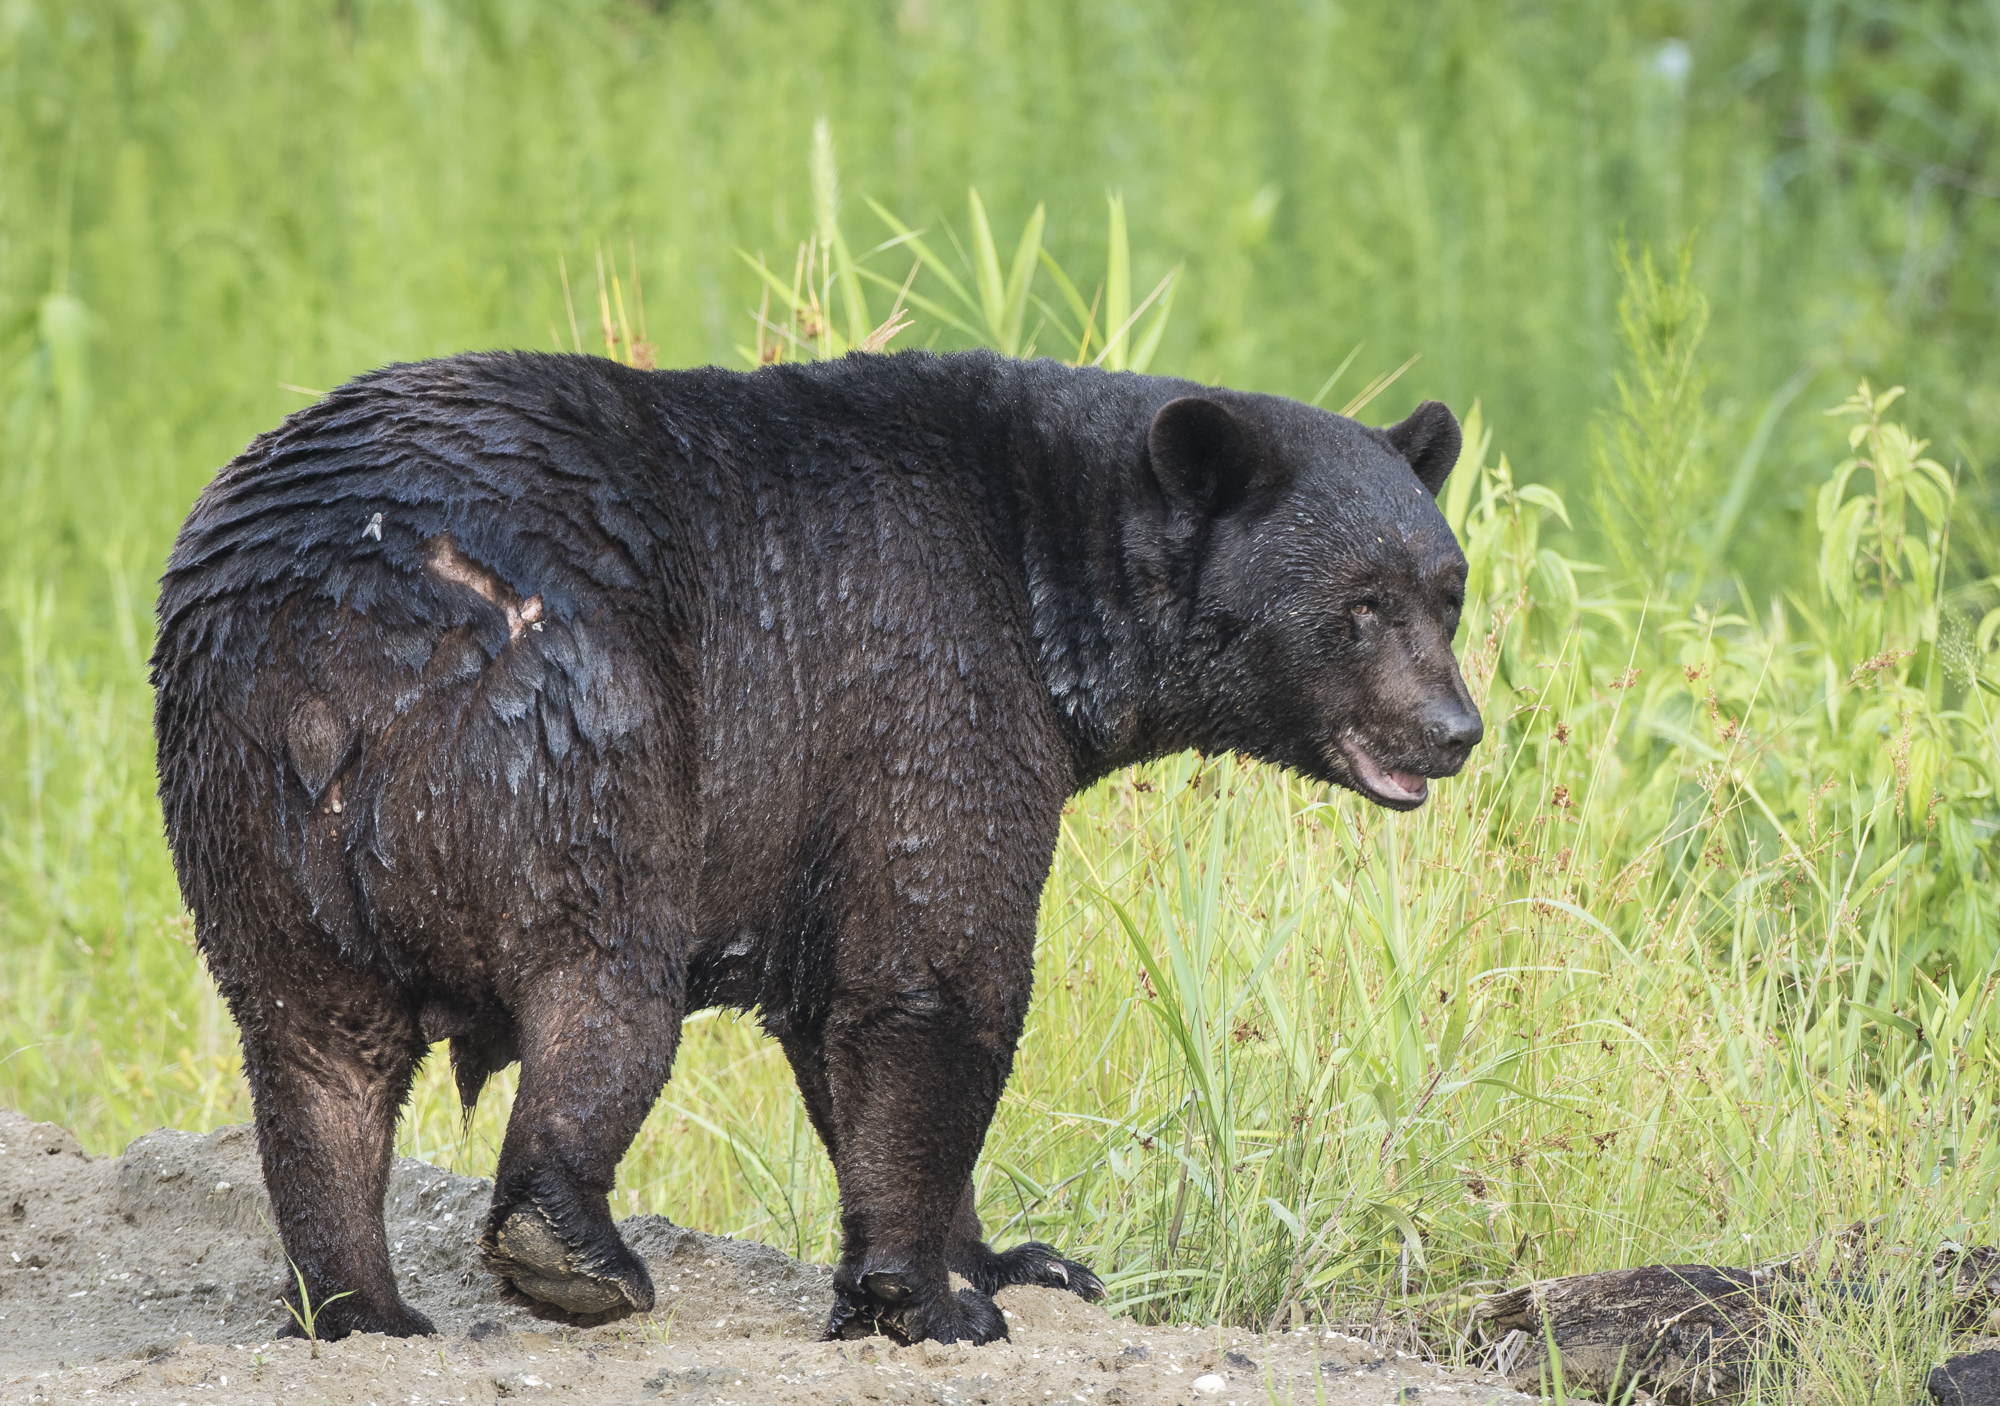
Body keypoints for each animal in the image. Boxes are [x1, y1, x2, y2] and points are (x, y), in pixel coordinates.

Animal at [150, 349, 1483, 1346]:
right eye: (1358, 606)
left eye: (1447, 587)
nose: (1454, 728)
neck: (1046, 570)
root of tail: (332, 662)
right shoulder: (929, 675)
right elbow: (938, 972)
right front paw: (926, 1296)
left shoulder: (818, 806)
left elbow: (840, 1009)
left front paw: (1010, 1256)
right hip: (572, 738)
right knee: (603, 984)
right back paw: (571, 1250)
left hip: (244, 814)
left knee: (315, 1059)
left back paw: (357, 1303)